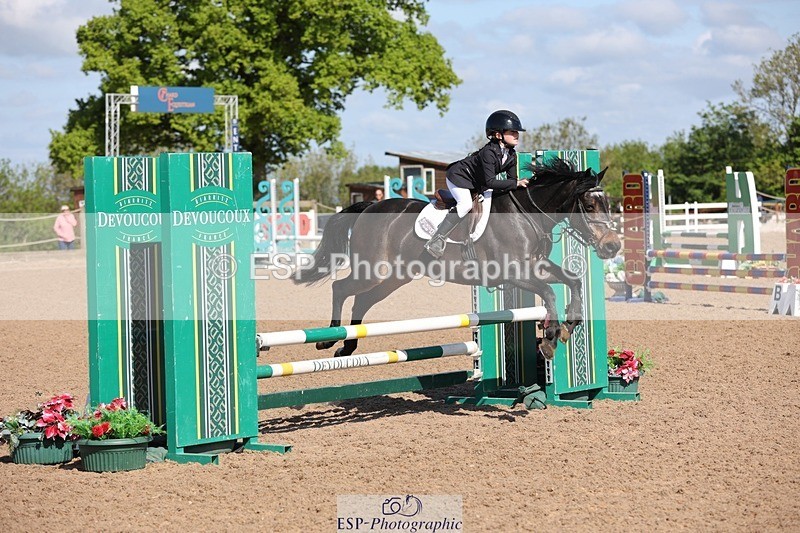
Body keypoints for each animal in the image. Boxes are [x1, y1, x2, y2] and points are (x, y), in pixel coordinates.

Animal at [294, 157, 621, 359]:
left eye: (607, 203)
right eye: (589, 205)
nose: (613, 247)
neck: (526, 213)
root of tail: (370, 207)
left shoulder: (535, 266)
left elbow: (572, 280)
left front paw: (570, 323)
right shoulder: (512, 272)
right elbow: (549, 292)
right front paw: (551, 336)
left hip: (395, 277)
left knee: (362, 301)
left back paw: (347, 348)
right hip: (373, 269)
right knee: (341, 288)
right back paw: (328, 339)